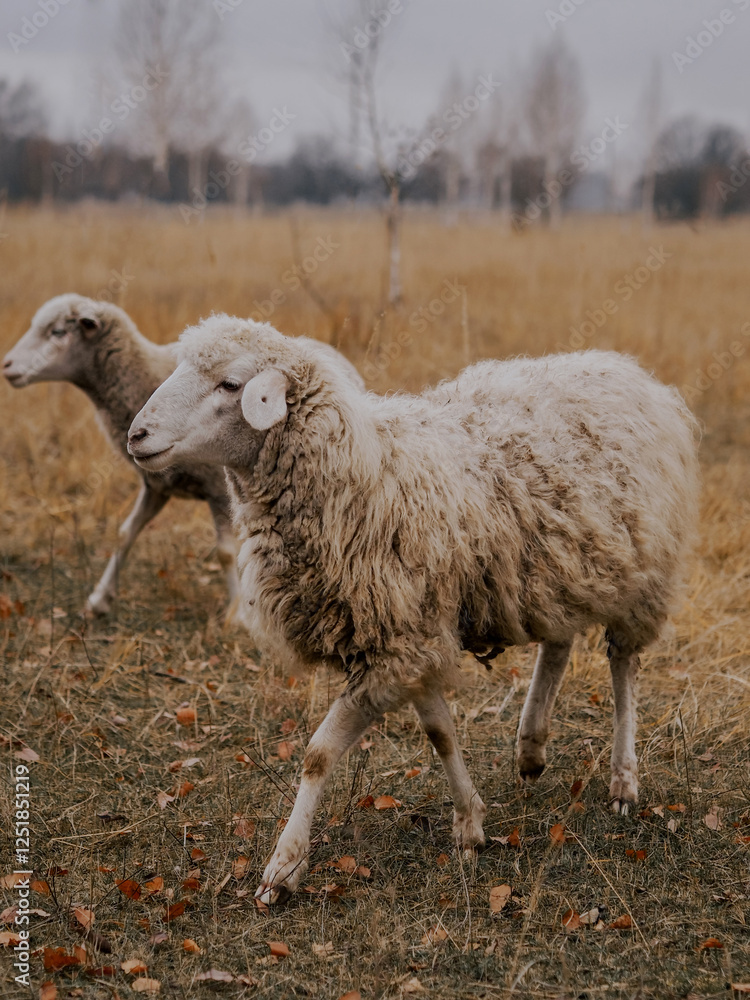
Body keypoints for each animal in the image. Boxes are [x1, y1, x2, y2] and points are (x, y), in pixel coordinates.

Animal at [3, 294, 364, 617]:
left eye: (57, 332)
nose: (6, 365)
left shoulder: (219, 491)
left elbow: (224, 552)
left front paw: (237, 616)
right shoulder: (156, 486)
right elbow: (124, 534)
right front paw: (99, 599)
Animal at [126, 314, 700, 904]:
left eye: (230, 384)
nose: (136, 436)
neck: (361, 475)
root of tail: (624, 369)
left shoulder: (396, 643)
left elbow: (319, 753)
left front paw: (283, 867)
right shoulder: (409, 636)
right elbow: (439, 731)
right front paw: (470, 824)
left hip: (643, 576)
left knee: (622, 667)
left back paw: (623, 780)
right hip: (553, 571)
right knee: (559, 644)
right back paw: (531, 747)